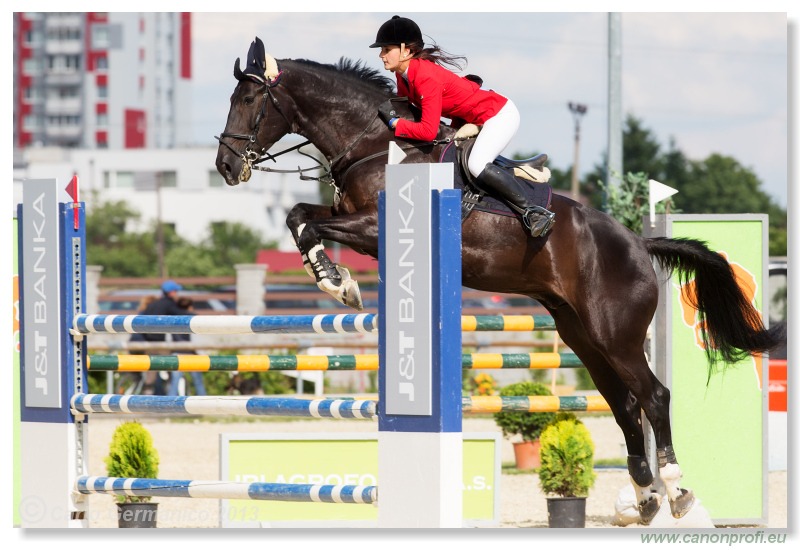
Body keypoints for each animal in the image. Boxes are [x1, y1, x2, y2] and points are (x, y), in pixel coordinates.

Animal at [214, 38, 780, 528]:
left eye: (250, 101)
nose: (224, 165)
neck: (374, 144)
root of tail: (640, 245)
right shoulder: (348, 218)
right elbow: (300, 216)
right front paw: (334, 278)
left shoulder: (374, 227)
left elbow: (309, 223)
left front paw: (340, 284)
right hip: (583, 336)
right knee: (624, 406)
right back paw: (644, 499)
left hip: (616, 335)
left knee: (654, 397)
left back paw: (677, 492)